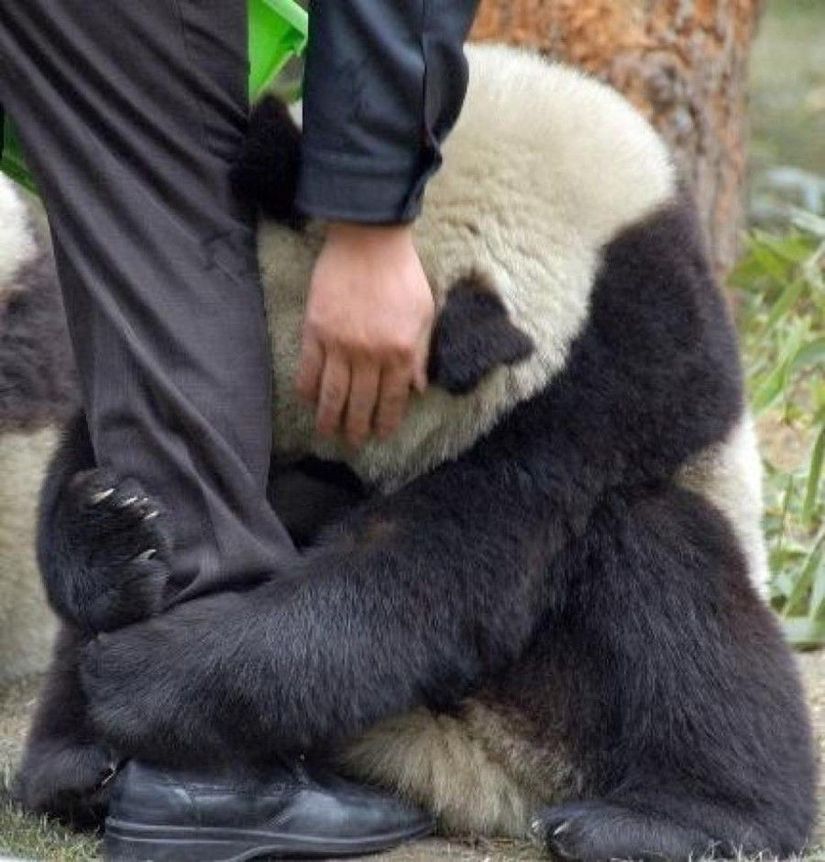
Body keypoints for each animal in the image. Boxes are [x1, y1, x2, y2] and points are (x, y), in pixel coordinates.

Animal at [16, 47, 816, 862]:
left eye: (338, 445)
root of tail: (460, 766)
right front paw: (108, 530)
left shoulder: (615, 369)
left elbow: (448, 559)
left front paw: (148, 670)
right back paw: (78, 765)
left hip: (569, 701)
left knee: (680, 584)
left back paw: (677, 819)